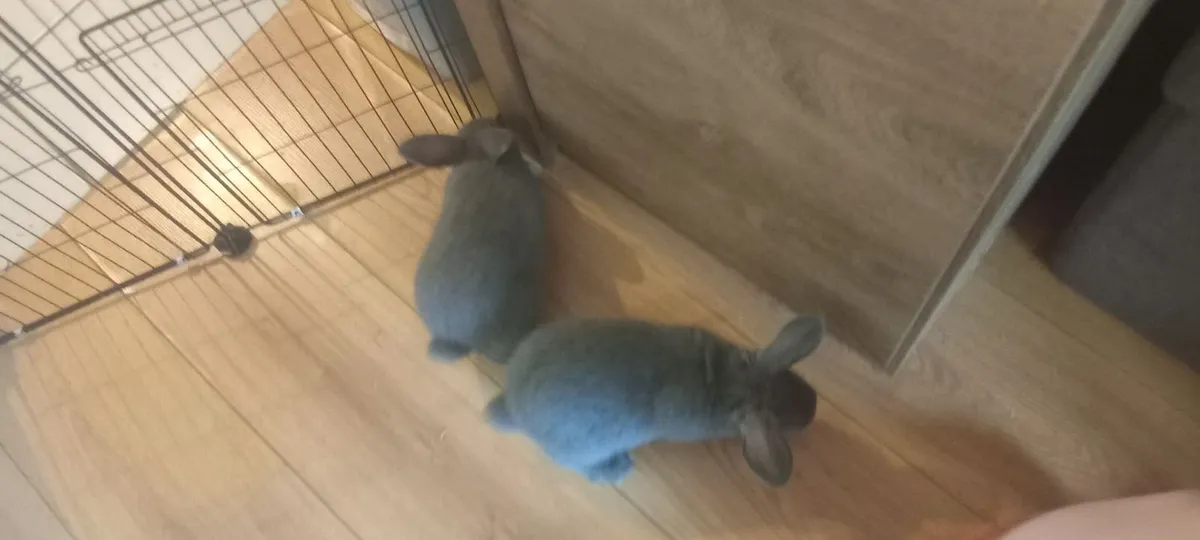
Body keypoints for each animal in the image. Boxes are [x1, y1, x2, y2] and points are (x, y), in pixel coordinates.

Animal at [486, 315, 824, 486]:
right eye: (784, 424)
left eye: (795, 377)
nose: (815, 405)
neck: (727, 380)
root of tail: (513, 407)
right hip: (581, 449)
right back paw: (616, 470)